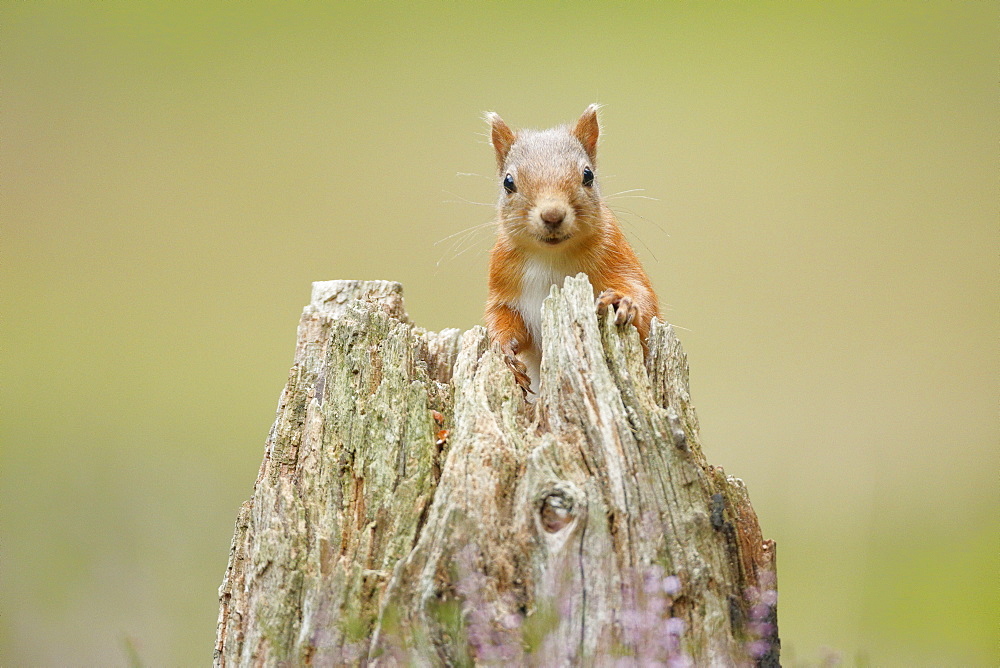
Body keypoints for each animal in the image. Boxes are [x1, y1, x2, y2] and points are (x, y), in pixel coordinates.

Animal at [482, 105, 660, 396]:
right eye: (508, 182)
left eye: (588, 175)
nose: (552, 215)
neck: (551, 256)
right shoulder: (503, 280)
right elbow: (502, 318)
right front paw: (505, 351)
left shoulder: (617, 254)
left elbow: (645, 304)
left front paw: (621, 300)